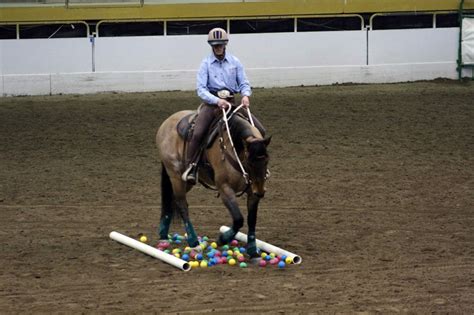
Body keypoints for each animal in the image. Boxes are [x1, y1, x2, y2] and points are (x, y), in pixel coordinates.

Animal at [156, 106, 270, 260]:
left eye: (266, 160)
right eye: (249, 162)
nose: (260, 192)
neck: (233, 149)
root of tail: (166, 123)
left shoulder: (251, 192)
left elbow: (252, 219)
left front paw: (253, 251)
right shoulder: (225, 189)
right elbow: (238, 219)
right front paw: (222, 239)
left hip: (186, 182)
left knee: (171, 199)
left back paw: (163, 234)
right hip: (175, 175)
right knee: (182, 204)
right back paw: (194, 243)